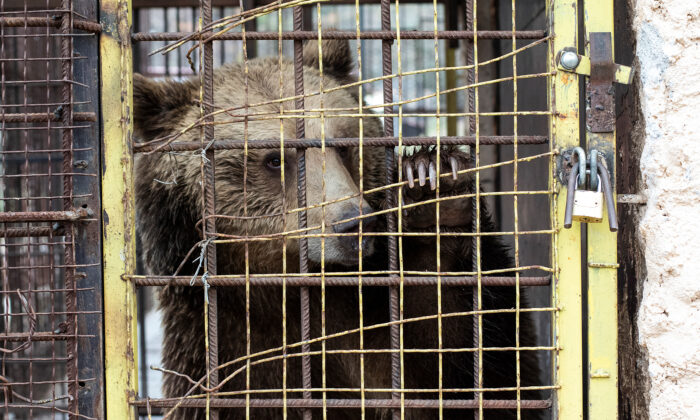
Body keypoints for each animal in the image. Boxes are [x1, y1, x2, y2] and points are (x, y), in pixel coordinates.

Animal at [134, 39, 544, 420]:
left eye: (344, 144)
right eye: (274, 159)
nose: (354, 222)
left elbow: (473, 369)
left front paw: (434, 183)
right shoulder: (221, 360)